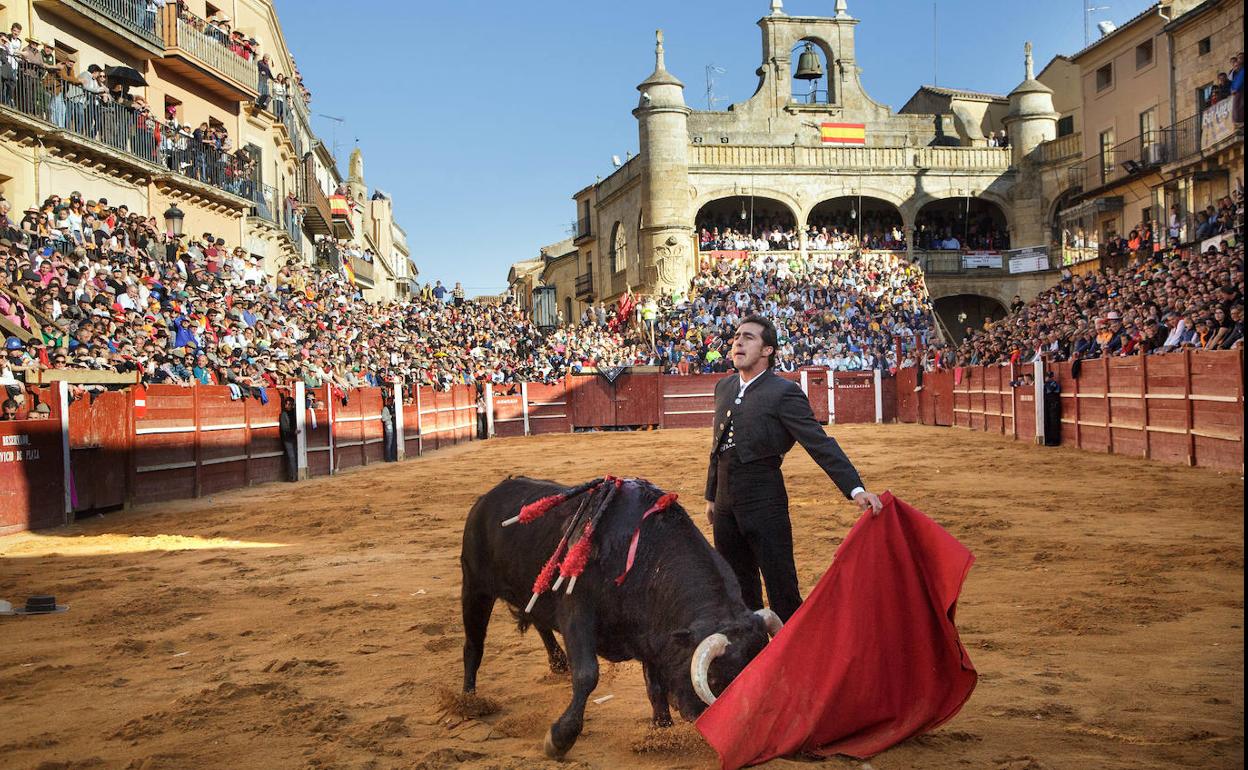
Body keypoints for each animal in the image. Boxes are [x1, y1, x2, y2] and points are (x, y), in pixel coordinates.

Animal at [461, 474, 778, 758]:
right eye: (713, 678)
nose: (711, 729)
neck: (645, 555)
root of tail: (487, 498)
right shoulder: (576, 612)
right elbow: (587, 674)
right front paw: (559, 739)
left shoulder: (651, 633)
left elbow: (654, 684)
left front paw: (661, 732)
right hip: (475, 587)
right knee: (473, 644)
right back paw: (468, 702)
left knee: (537, 619)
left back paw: (557, 663)